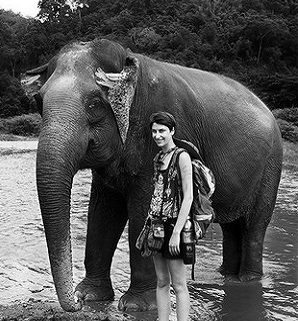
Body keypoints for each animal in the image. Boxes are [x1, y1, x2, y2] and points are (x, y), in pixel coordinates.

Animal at [22, 37, 282, 310]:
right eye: (39, 102)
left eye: (94, 104)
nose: (76, 302)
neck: (130, 62)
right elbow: (102, 211)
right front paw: (91, 295)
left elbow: (142, 205)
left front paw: (137, 306)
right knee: (232, 227)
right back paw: (227, 276)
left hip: (270, 168)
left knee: (254, 226)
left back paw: (247, 280)